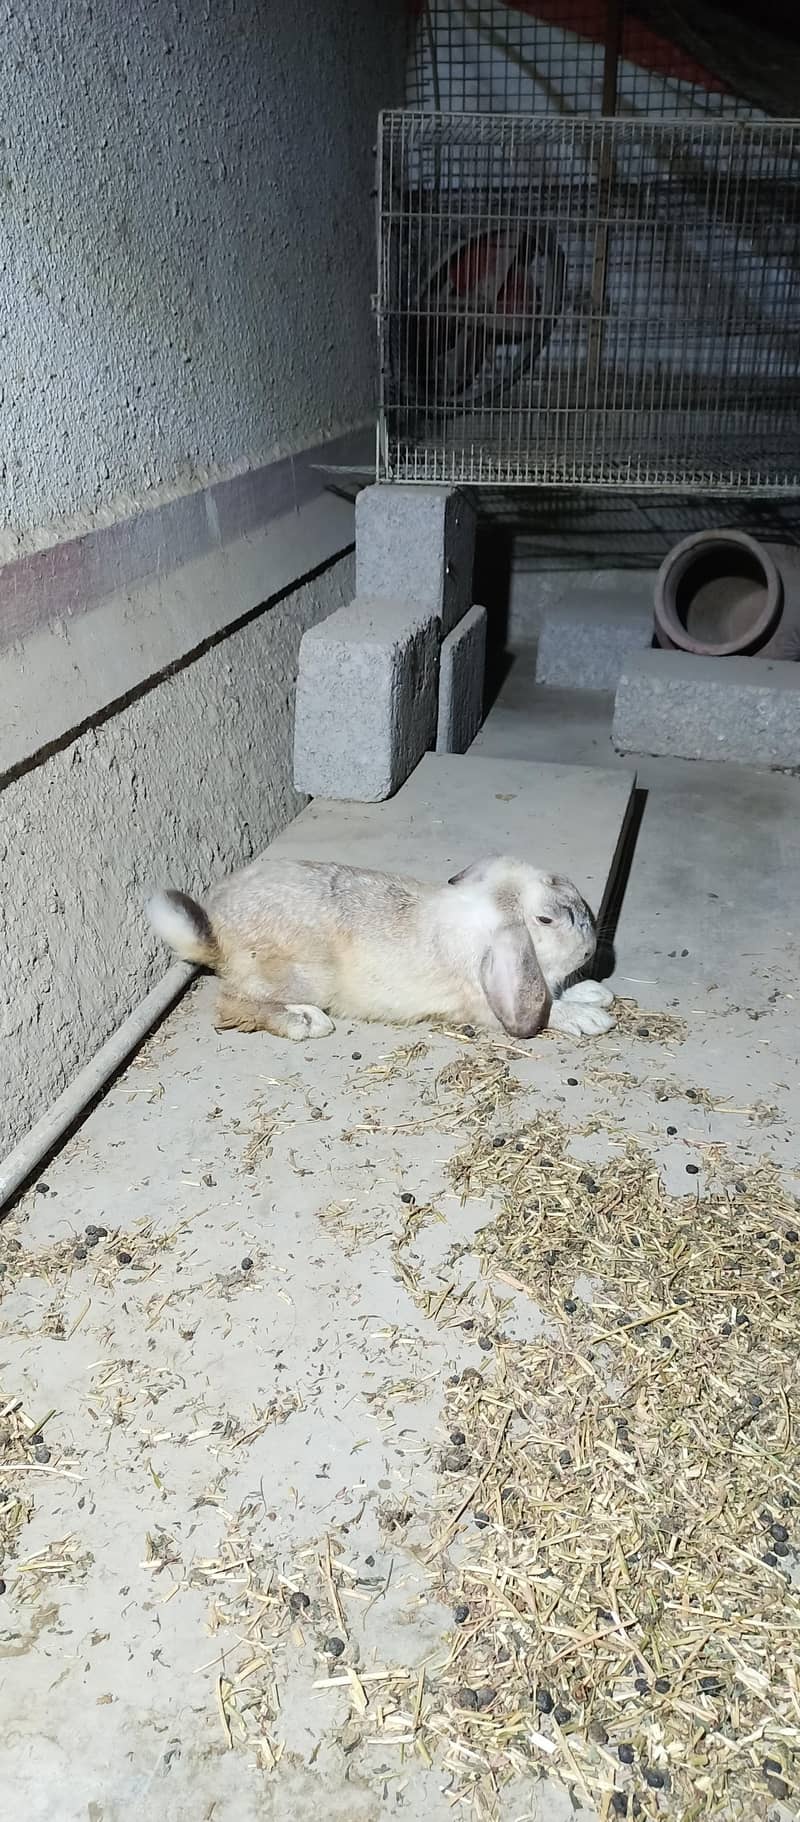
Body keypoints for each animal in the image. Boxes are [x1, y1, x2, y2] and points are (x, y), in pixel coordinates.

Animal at [146, 853, 614, 1044]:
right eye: (546, 920)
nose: (590, 946)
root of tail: (216, 935)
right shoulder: (485, 1001)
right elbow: (547, 1009)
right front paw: (590, 1020)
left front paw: (595, 994)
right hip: (297, 978)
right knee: (231, 1005)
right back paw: (305, 1023)